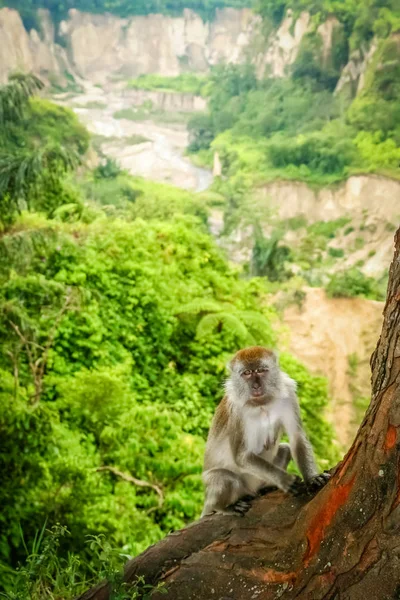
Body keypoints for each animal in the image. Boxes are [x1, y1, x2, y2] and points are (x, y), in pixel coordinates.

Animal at [202, 346, 330, 516]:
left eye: (261, 370)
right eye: (247, 373)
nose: (256, 386)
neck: (261, 403)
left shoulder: (288, 395)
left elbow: (297, 437)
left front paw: (312, 478)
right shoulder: (236, 411)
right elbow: (241, 456)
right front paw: (283, 479)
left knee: (285, 449)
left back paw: (266, 487)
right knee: (225, 477)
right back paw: (224, 507)